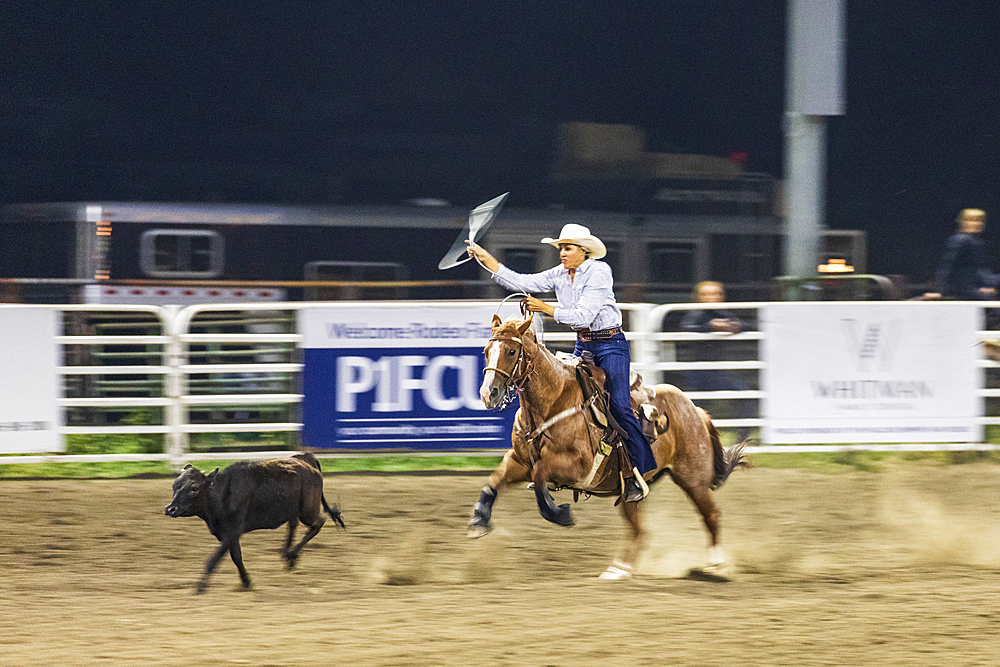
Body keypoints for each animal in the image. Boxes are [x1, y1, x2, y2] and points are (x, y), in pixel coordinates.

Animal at [464, 314, 748, 580]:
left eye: (511, 351)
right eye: (486, 350)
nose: (488, 394)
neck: (553, 402)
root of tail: (696, 410)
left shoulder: (577, 467)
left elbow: (540, 475)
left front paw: (560, 513)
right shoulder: (519, 460)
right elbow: (494, 482)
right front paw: (479, 520)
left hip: (693, 479)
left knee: (711, 515)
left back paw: (716, 567)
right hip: (630, 490)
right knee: (639, 531)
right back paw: (618, 569)